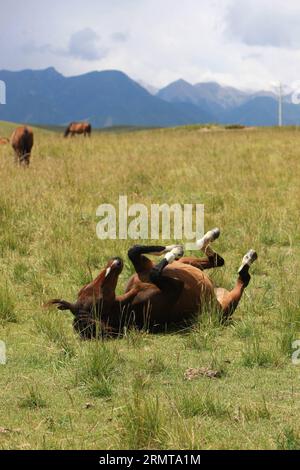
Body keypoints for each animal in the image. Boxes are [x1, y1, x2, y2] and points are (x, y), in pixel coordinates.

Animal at [48, 228, 256, 338]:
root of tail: (218, 294)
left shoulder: (142, 267)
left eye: (86, 288)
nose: (114, 263)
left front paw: (173, 248)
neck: (129, 301)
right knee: (242, 278)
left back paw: (210, 236)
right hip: (227, 305)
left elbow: (134, 250)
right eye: (98, 300)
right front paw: (175, 250)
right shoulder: (174, 288)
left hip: (193, 265)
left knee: (216, 260)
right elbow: (156, 272)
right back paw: (247, 258)